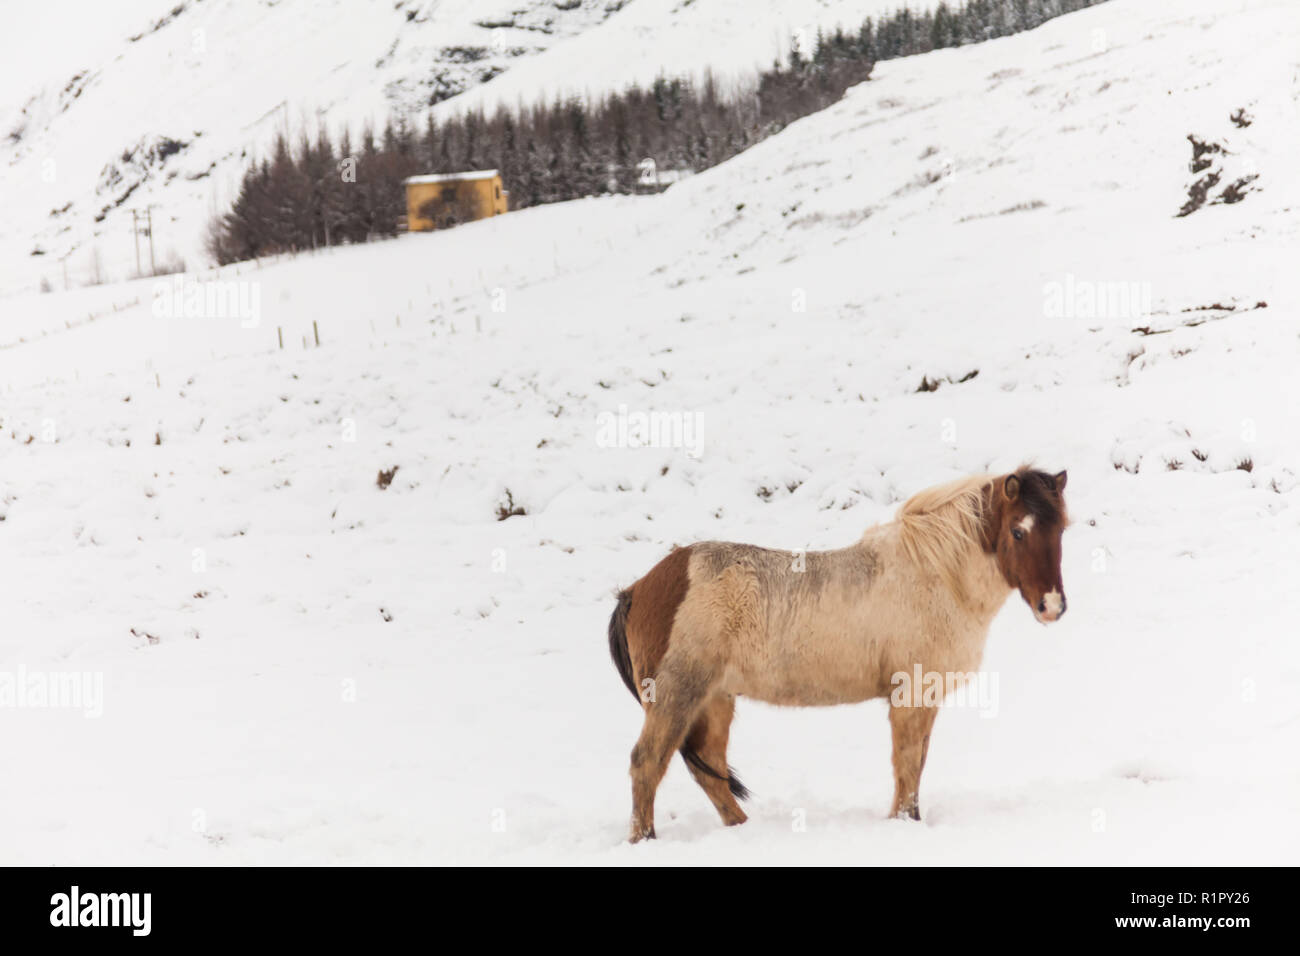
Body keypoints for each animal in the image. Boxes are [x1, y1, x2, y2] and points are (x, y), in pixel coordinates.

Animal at [607, 466, 1068, 842]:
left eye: (1061, 529)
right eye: (1018, 531)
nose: (1052, 606)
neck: (936, 574)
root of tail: (637, 588)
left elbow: (916, 765)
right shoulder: (911, 696)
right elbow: (907, 766)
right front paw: (904, 823)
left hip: (714, 701)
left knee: (710, 772)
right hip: (677, 696)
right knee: (646, 764)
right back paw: (644, 840)